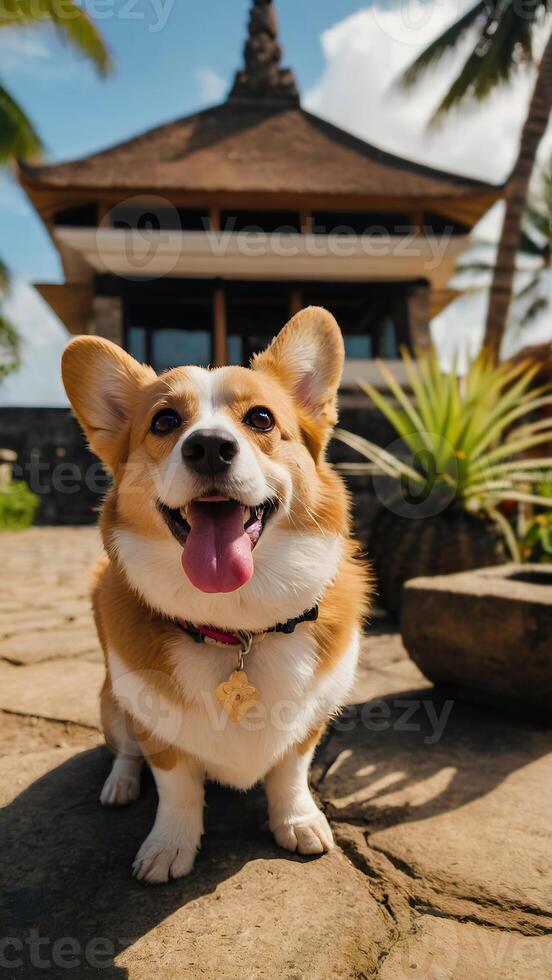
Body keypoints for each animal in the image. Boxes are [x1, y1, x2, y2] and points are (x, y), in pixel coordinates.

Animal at [62, 304, 368, 880]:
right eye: (164, 421)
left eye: (261, 419)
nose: (207, 448)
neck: (236, 625)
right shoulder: (157, 729)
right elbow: (176, 787)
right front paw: (168, 848)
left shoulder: (310, 722)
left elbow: (291, 771)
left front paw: (297, 822)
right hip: (112, 703)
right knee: (124, 751)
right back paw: (120, 785)